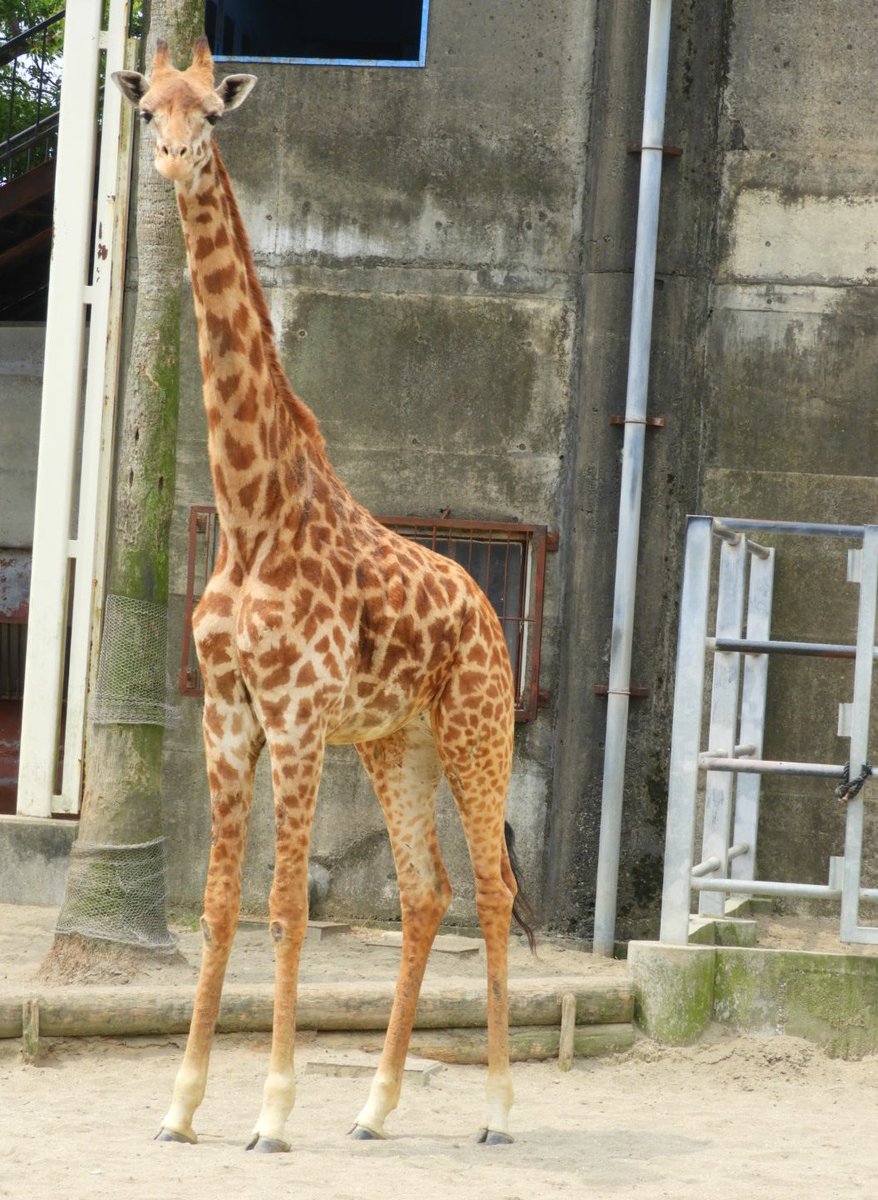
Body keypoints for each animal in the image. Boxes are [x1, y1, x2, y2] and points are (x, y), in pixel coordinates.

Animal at [111, 42, 534, 1152]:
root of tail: (487, 611)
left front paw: (269, 1111)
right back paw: (376, 1108)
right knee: (426, 894)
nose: (174, 162)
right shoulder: (226, 714)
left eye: (213, 116)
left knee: (494, 886)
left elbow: (286, 906)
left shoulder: (296, 715)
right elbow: (218, 904)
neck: (253, 515)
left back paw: (498, 1110)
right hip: (396, 743)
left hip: (476, 728)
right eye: (148, 114)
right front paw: (180, 1105)